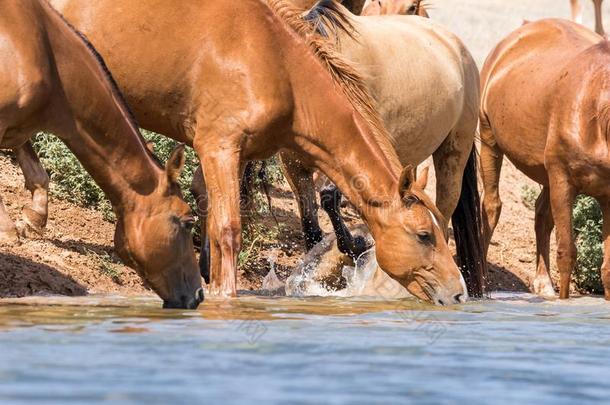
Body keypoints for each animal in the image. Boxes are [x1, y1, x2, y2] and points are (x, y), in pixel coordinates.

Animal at [0, 0, 204, 308]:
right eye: (188, 222)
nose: (199, 295)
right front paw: (8, 229)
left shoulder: (19, 125)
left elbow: (37, 174)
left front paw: (32, 219)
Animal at [48, 0, 466, 304]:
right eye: (424, 235)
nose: (459, 293)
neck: (278, 64)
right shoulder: (218, 148)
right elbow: (227, 228)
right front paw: (225, 297)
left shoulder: (237, 154)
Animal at [480, 19, 608, 298]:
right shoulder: (563, 180)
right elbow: (566, 253)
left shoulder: (607, 196)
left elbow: (607, 268)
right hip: (488, 139)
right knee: (491, 206)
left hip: (546, 174)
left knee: (541, 214)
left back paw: (543, 284)